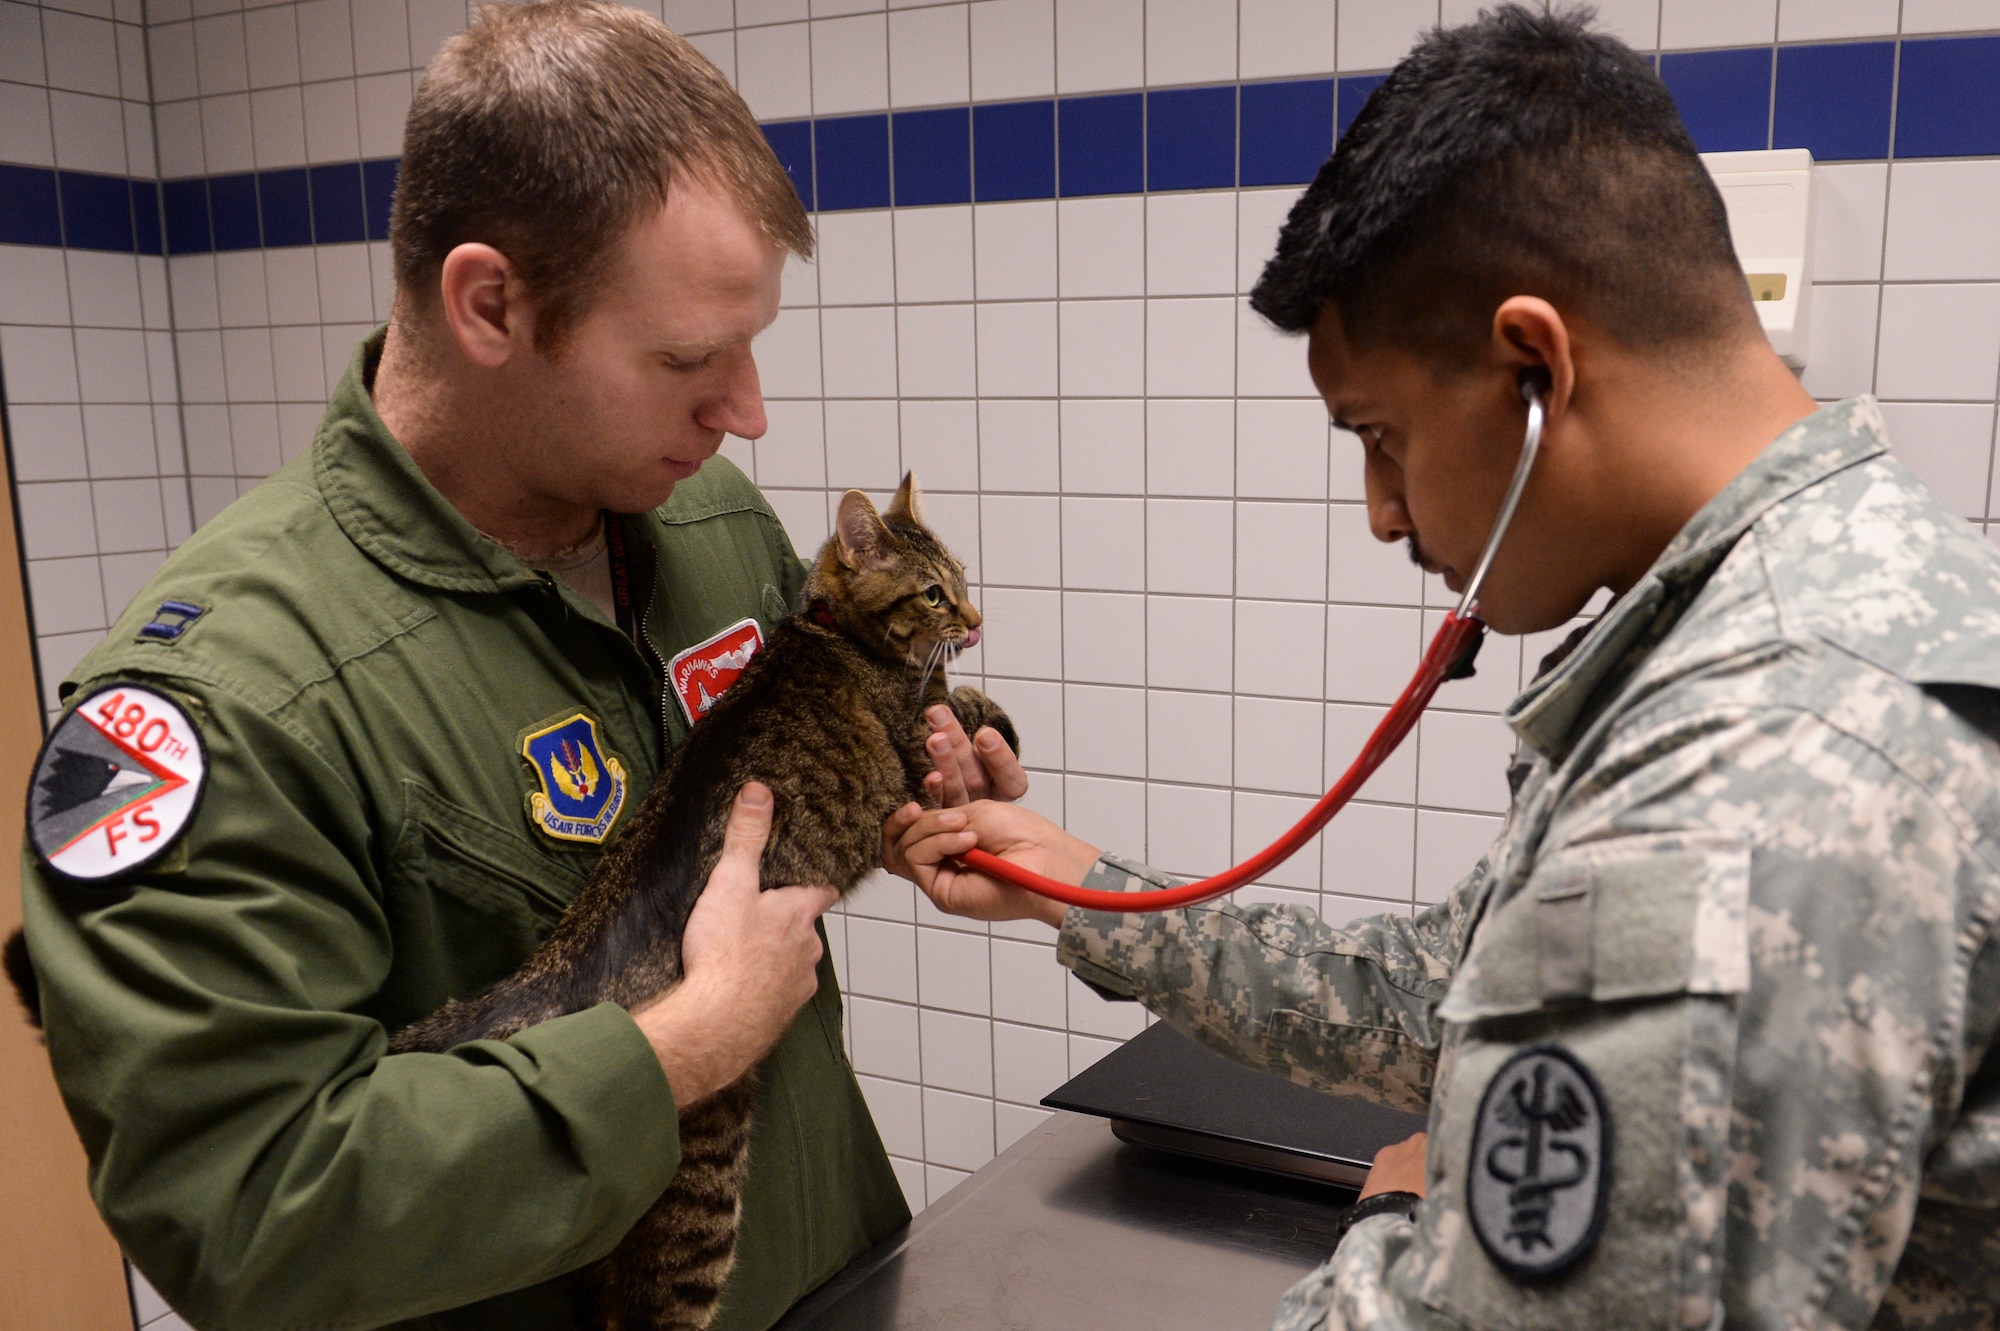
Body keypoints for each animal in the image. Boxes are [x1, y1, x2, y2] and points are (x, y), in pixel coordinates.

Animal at [390, 471, 1016, 1319]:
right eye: (932, 592)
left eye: (963, 578)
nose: (977, 620)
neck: (835, 631)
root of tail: (547, 980)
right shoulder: (919, 744)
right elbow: (967, 709)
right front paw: (998, 725)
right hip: (699, 1192)